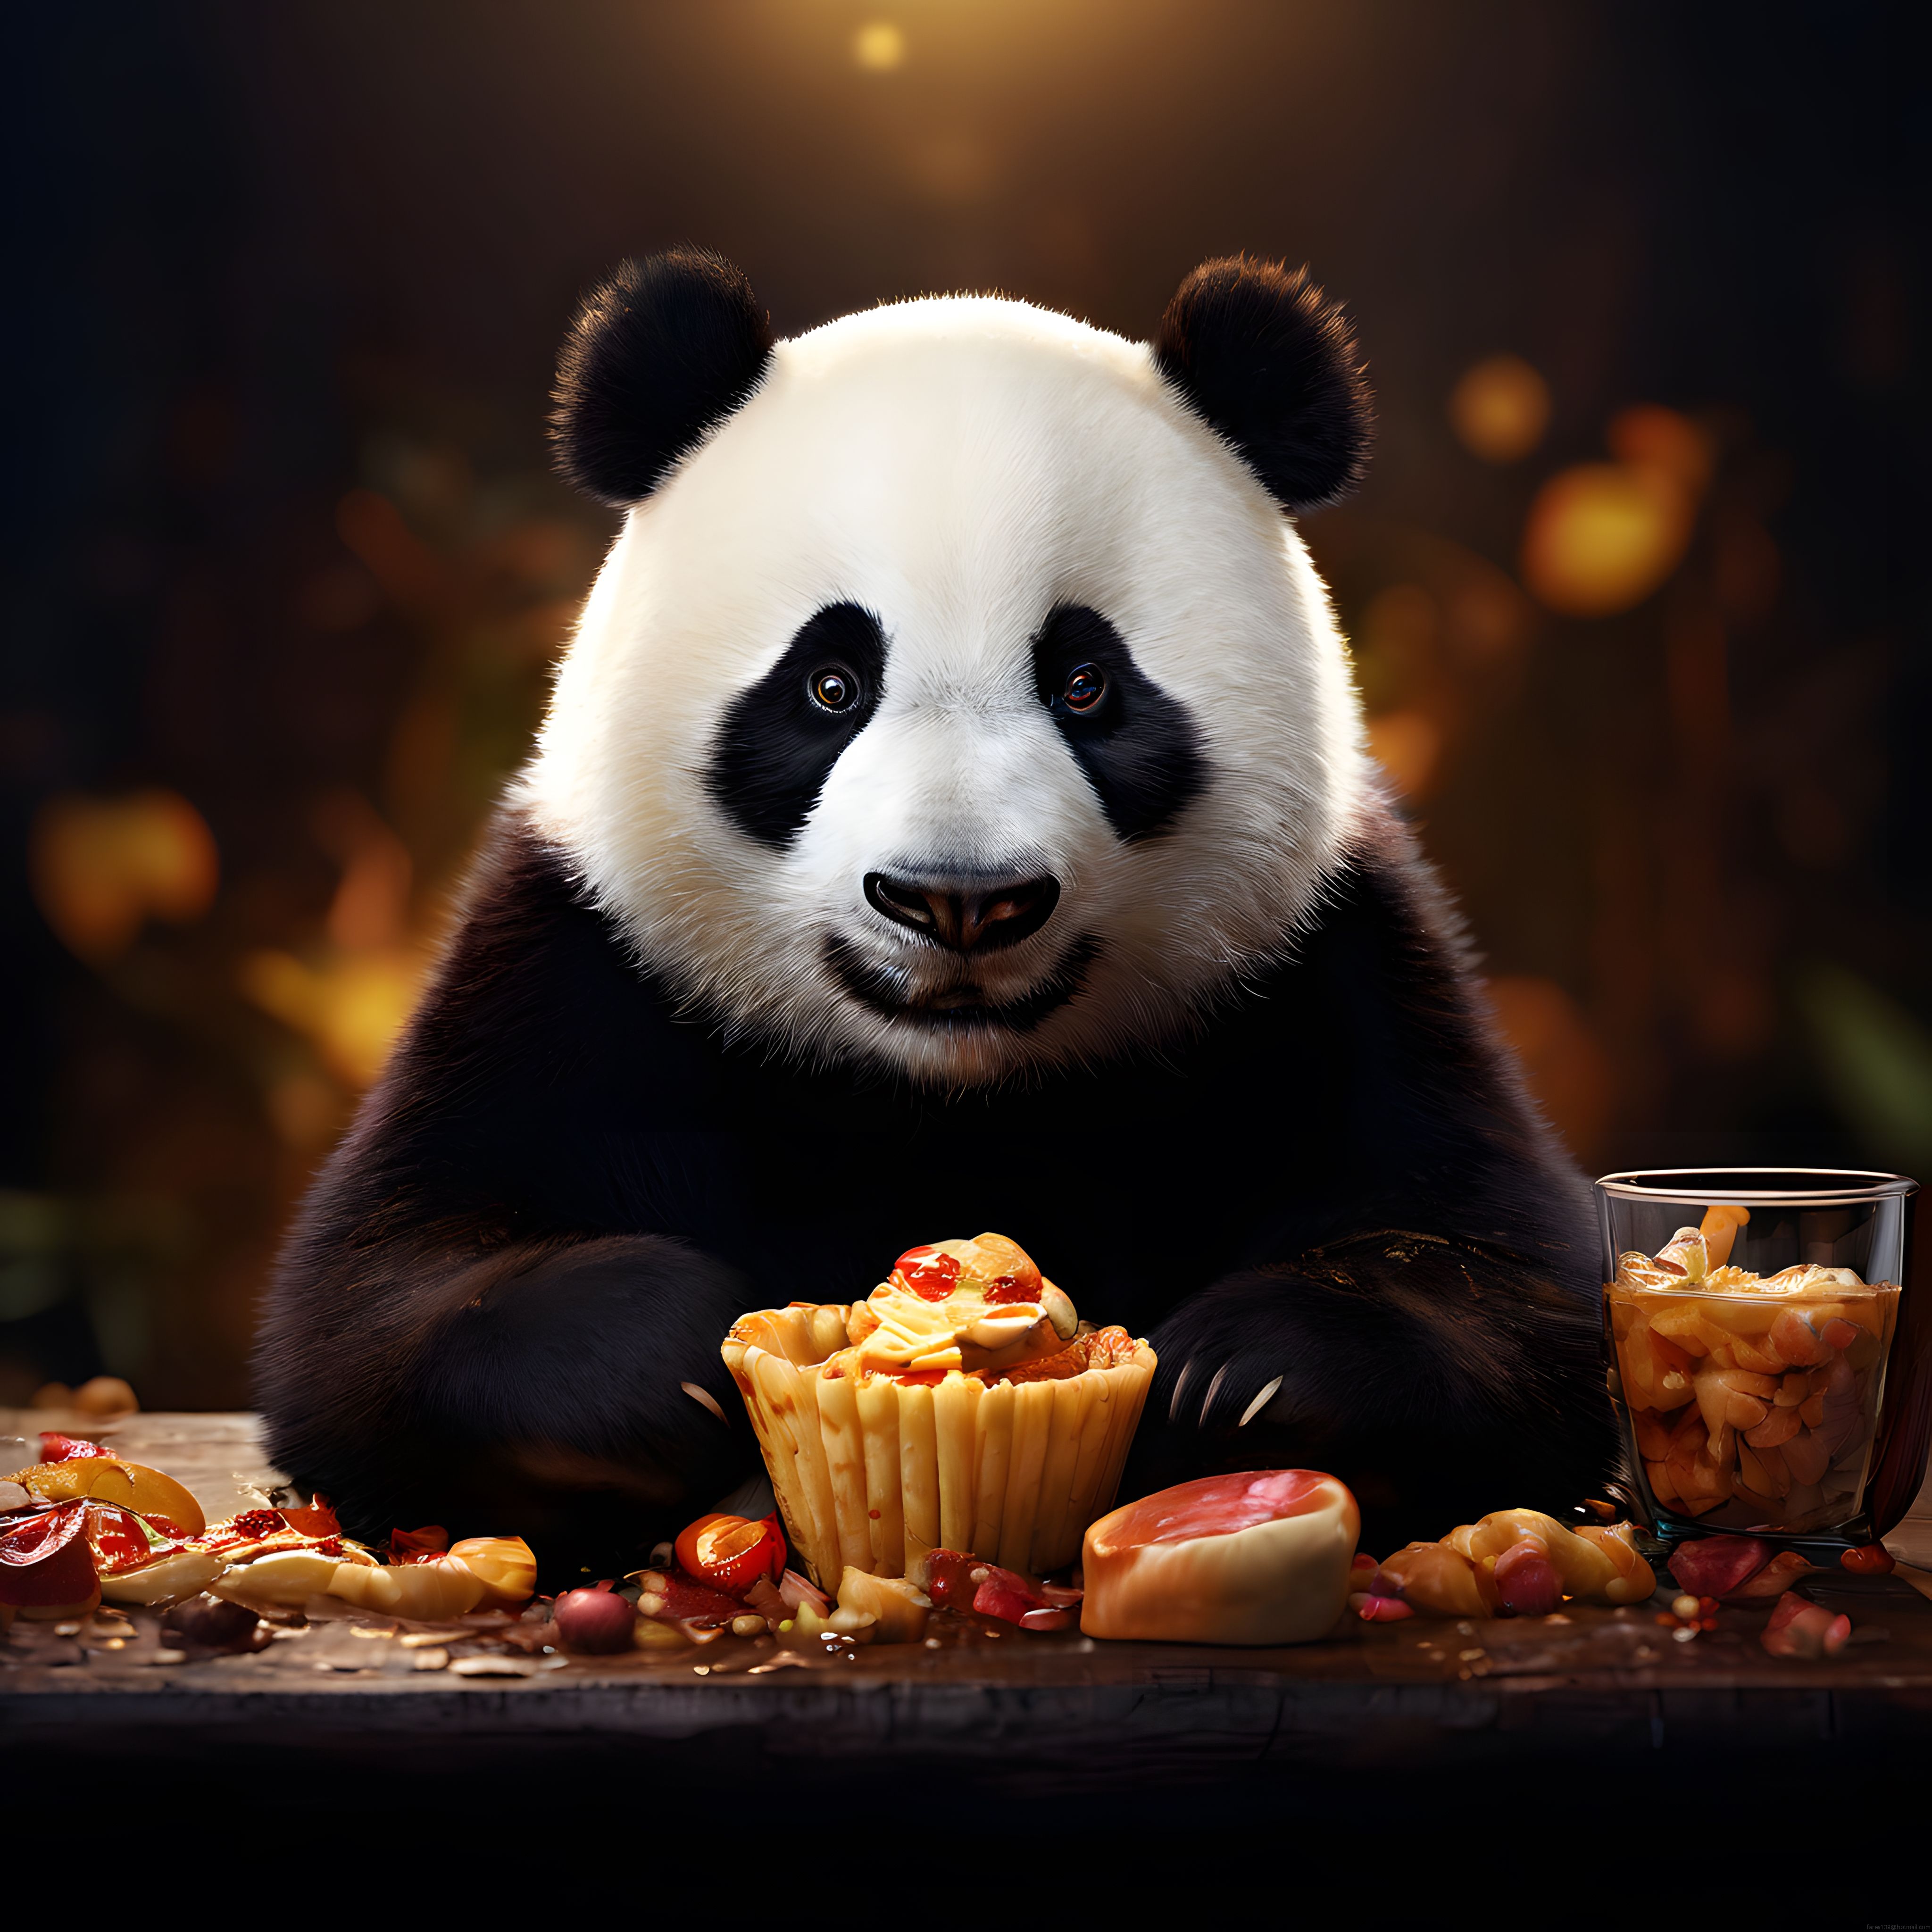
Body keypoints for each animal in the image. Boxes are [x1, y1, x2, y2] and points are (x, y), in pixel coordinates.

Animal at [255, 248, 1615, 1576]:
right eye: (829, 684)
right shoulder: (572, 960)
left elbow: (1509, 1278)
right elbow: (374, 1291)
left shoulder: (1335, 962)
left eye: (1087, 683)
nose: (959, 901)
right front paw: (655, 1358)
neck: (945, 1089)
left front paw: (1252, 1373)